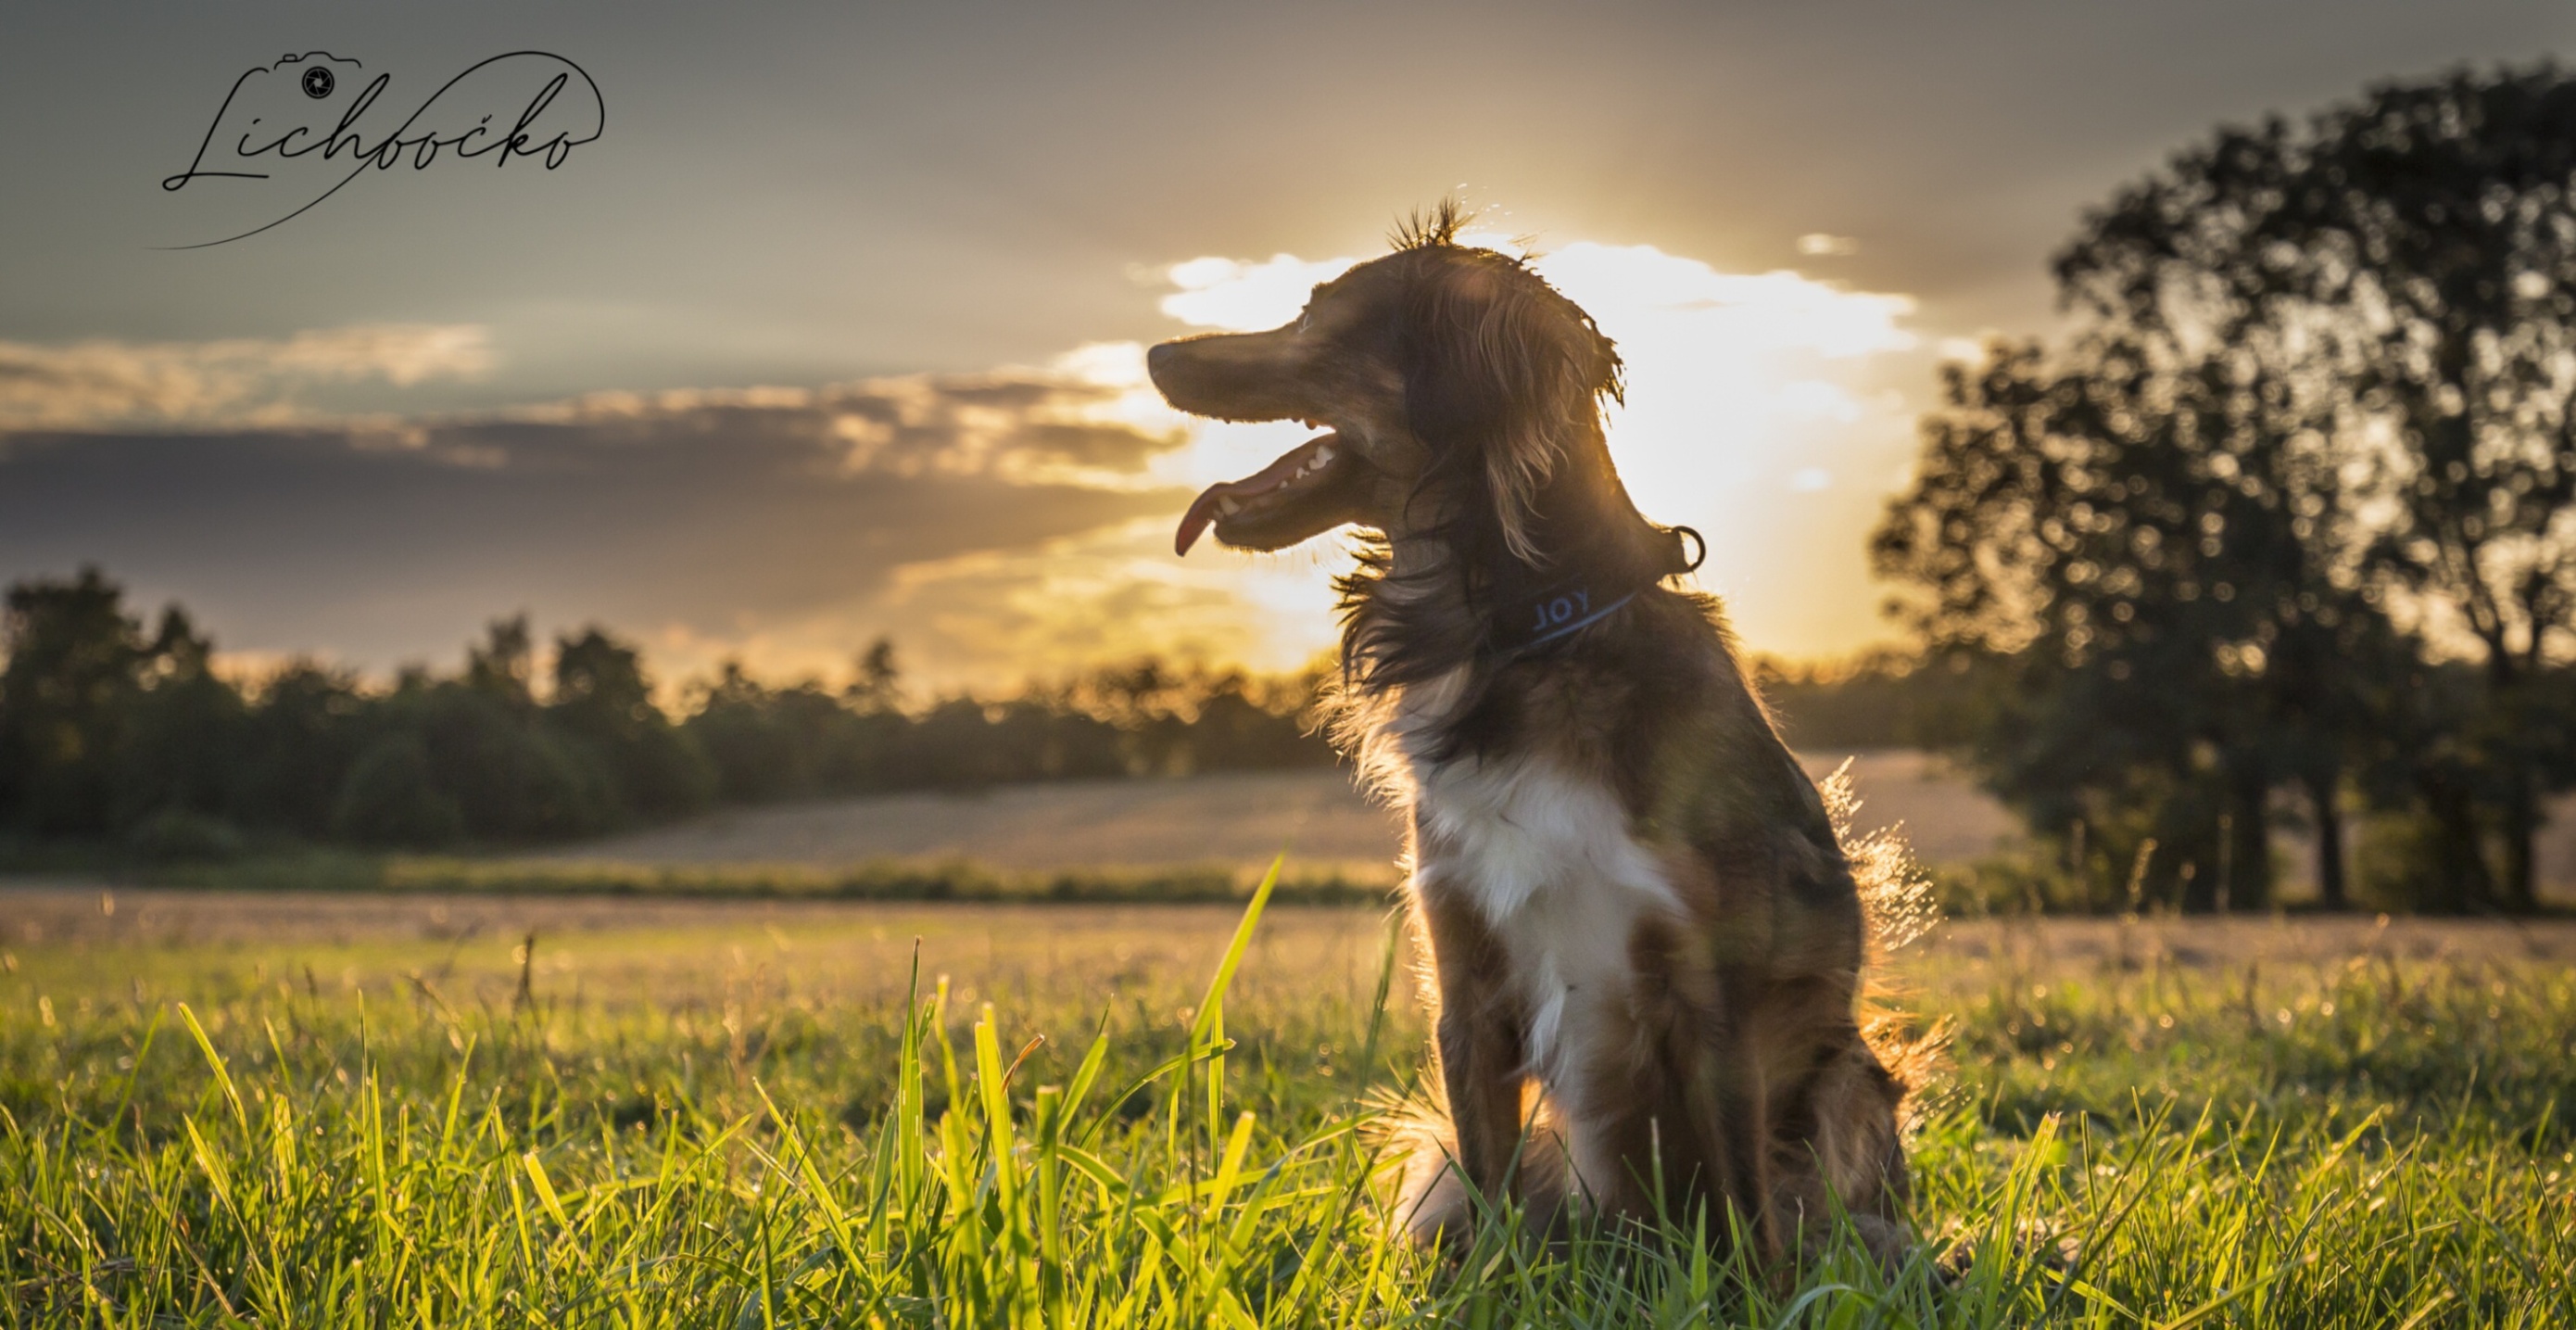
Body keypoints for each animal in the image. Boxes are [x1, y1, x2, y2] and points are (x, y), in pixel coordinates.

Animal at [1154, 202, 1916, 1262]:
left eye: (1317, 314)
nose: (1153, 352)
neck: (1539, 631)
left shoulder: (1713, 998)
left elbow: (1745, 1220)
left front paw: (1751, 1286)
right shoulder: (1465, 981)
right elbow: (1490, 1196)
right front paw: (1490, 1282)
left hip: (1846, 1075)